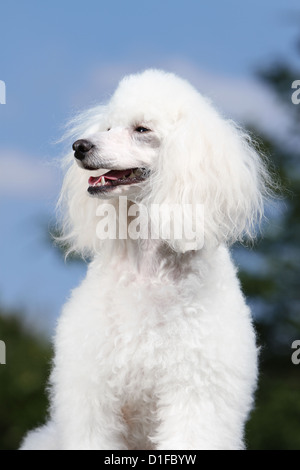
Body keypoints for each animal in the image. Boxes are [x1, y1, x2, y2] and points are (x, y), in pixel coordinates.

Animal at [19, 70, 270, 452]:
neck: (148, 272)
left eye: (142, 129)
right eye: (108, 127)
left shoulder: (196, 394)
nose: (79, 146)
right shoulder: (92, 393)